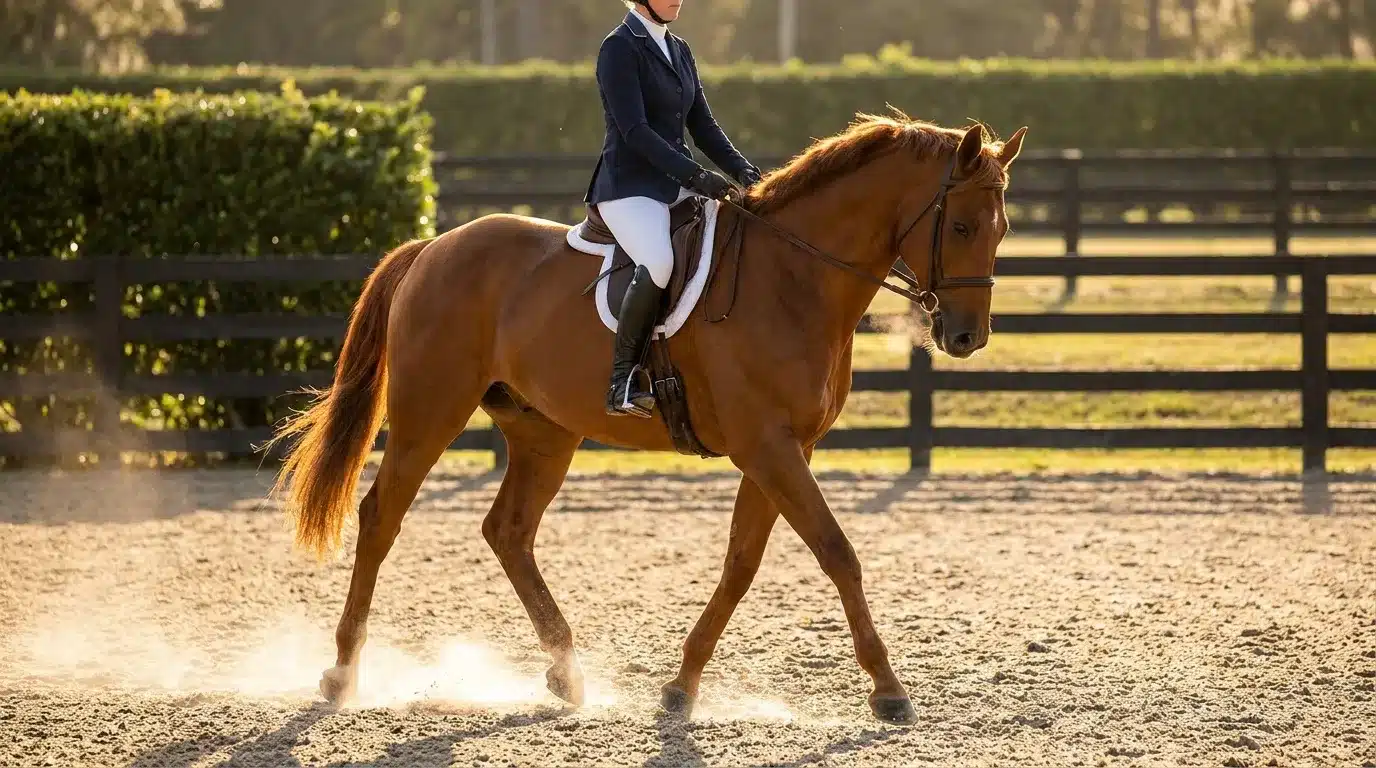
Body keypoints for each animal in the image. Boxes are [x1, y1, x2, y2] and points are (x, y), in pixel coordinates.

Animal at [268, 112, 1027, 725]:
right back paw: (341, 675)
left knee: (508, 531)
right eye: (961, 225)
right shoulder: (768, 446)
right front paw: (889, 691)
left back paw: (566, 673)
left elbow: (741, 564)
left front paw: (681, 687)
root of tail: (432, 247)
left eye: (1001, 229)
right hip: (431, 413)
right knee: (381, 518)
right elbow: (837, 551)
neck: (794, 279)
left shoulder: (784, 449)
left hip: (544, 432)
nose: (967, 337)